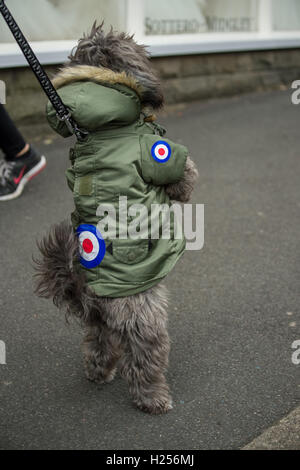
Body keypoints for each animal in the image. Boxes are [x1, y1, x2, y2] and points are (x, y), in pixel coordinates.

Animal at [34, 23, 197, 414]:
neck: (101, 127)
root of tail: (86, 286)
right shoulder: (159, 153)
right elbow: (183, 177)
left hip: (100, 321)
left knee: (97, 342)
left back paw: (98, 372)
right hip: (142, 311)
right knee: (143, 357)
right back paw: (153, 397)